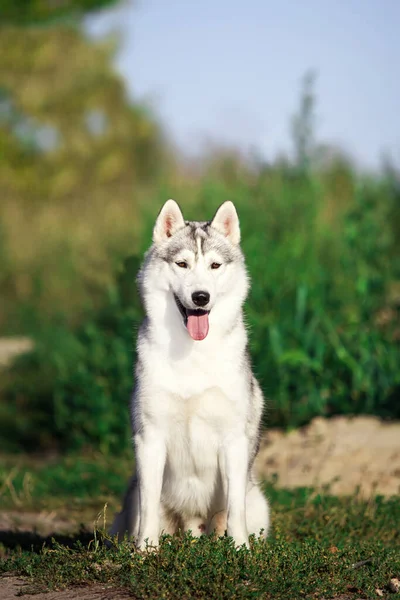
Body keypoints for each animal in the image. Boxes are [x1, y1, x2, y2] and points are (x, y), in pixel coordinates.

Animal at [111, 200, 270, 548]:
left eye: (214, 266)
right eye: (182, 264)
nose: (201, 297)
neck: (192, 354)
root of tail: (193, 525)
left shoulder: (233, 441)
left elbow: (235, 509)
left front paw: (241, 550)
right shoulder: (150, 439)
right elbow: (148, 507)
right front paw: (145, 552)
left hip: (258, 504)